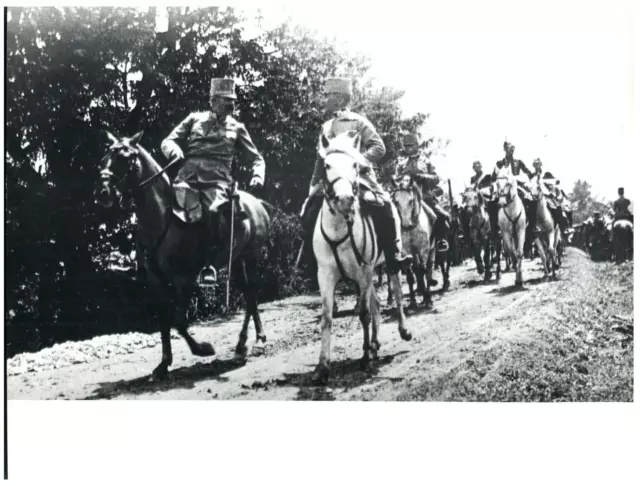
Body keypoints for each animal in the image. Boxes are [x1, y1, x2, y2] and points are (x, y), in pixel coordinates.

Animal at [94, 130, 270, 380]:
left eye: (125, 158)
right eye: (104, 159)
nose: (104, 193)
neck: (162, 218)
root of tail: (256, 202)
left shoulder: (183, 280)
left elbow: (178, 321)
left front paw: (203, 349)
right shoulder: (156, 282)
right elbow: (164, 322)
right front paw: (163, 365)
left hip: (251, 256)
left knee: (253, 294)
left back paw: (257, 342)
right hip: (236, 261)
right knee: (249, 294)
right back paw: (243, 345)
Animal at [312, 131, 412, 382]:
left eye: (355, 165)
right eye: (326, 165)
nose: (345, 199)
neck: (340, 227)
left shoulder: (364, 271)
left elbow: (364, 313)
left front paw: (365, 358)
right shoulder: (325, 275)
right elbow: (327, 318)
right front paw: (322, 366)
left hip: (387, 265)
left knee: (396, 295)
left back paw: (402, 331)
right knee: (376, 304)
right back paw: (375, 344)